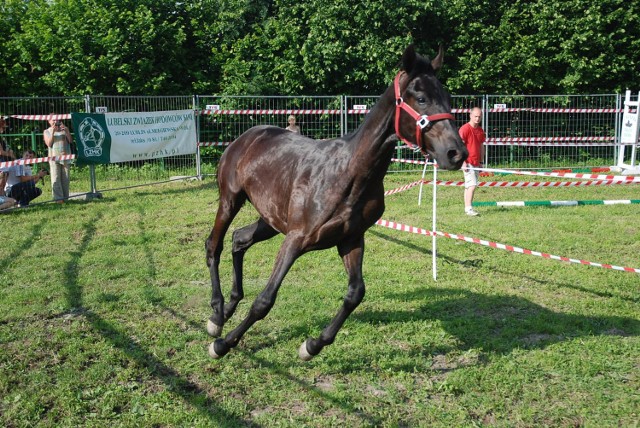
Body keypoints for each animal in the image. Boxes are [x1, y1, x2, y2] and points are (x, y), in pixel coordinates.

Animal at [208, 45, 468, 360]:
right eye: (421, 98)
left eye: (448, 98)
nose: (456, 153)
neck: (350, 174)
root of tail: (247, 136)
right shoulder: (296, 239)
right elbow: (265, 300)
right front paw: (223, 344)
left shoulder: (350, 239)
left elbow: (355, 293)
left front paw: (311, 346)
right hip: (230, 200)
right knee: (214, 245)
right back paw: (216, 315)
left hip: (270, 220)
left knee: (240, 239)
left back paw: (227, 308)